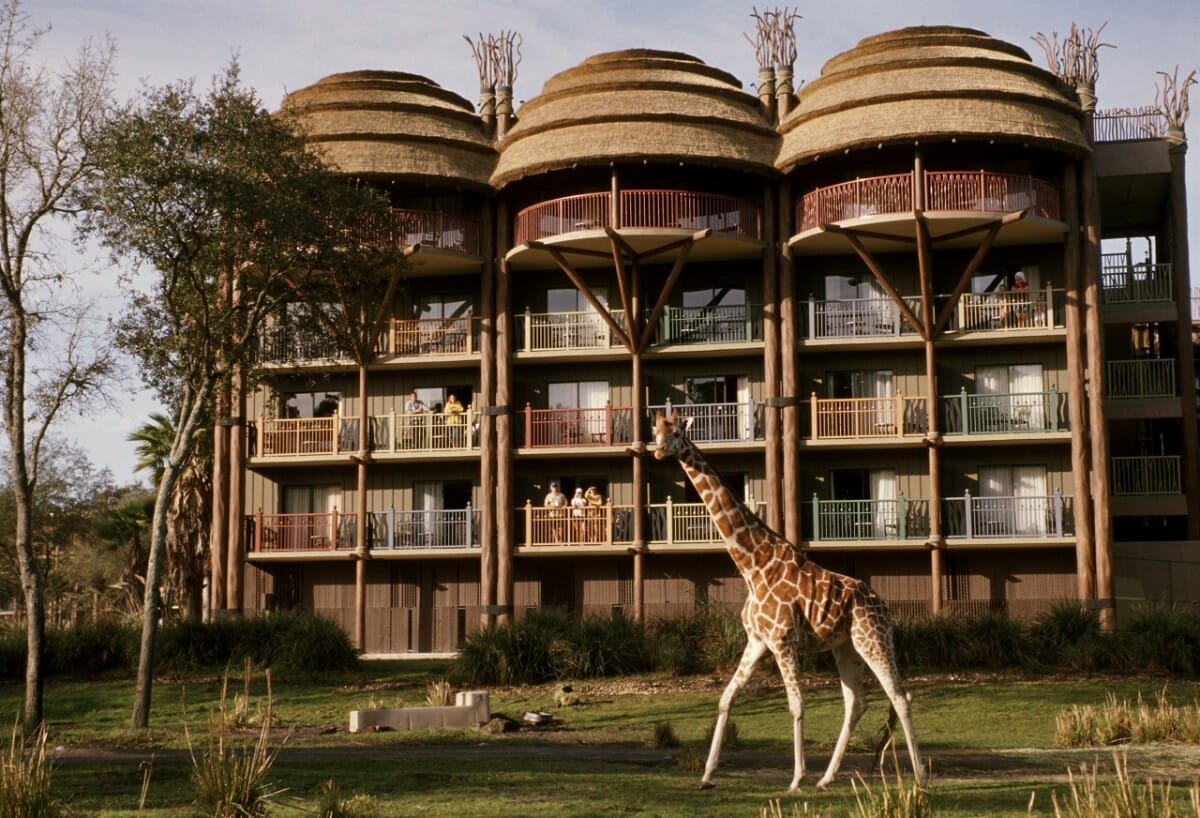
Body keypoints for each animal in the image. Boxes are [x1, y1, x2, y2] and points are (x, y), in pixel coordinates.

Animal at [652, 407, 921, 791]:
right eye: (655, 430)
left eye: (675, 432)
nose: (659, 452)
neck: (752, 565)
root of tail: (884, 606)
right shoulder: (757, 640)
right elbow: (726, 698)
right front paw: (706, 775)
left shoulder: (782, 641)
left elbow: (796, 704)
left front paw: (795, 778)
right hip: (845, 645)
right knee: (856, 701)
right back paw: (827, 778)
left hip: (873, 638)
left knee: (900, 695)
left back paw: (921, 775)